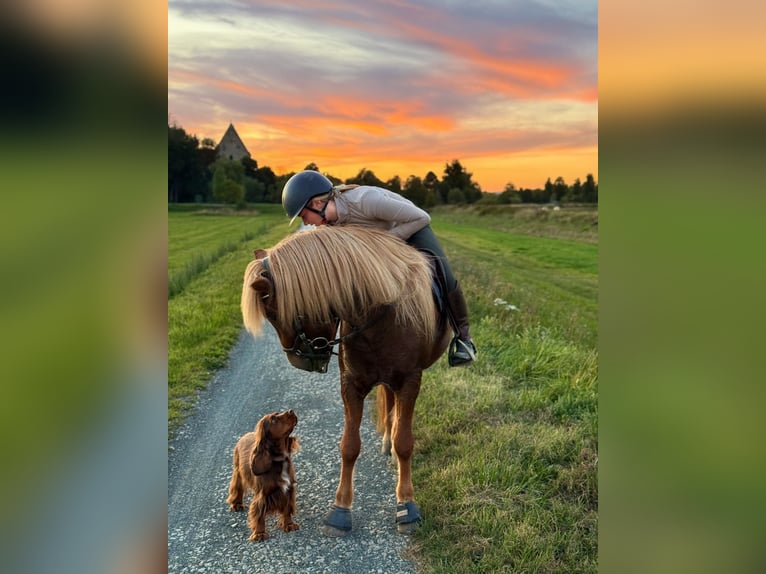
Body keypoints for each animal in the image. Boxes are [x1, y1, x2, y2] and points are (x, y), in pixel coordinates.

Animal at [241, 225, 451, 536]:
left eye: (276, 315)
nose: (297, 360)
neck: (379, 316)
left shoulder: (410, 382)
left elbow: (404, 442)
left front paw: (407, 505)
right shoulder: (351, 385)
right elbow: (348, 446)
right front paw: (340, 509)